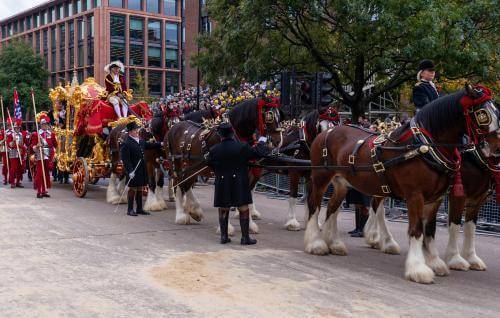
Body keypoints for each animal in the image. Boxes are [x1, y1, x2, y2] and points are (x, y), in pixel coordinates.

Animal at [166, 96, 284, 229]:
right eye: (269, 116)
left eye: (280, 116)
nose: (278, 141)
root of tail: (174, 127)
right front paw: (227, 227)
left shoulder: (247, 174)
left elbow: (247, 199)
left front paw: (249, 225)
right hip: (177, 165)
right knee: (179, 184)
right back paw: (181, 215)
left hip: (192, 168)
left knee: (186, 185)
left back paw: (195, 211)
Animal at [304, 84, 500, 284]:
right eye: (483, 114)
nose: (497, 149)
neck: (424, 146)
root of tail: (327, 132)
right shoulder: (418, 195)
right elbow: (419, 229)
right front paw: (419, 267)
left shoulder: (438, 199)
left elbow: (434, 230)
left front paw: (435, 261)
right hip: (321, 177)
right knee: (315, 205)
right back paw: (316, 243)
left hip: (343, 183)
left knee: (333, 208)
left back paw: (336, 243)